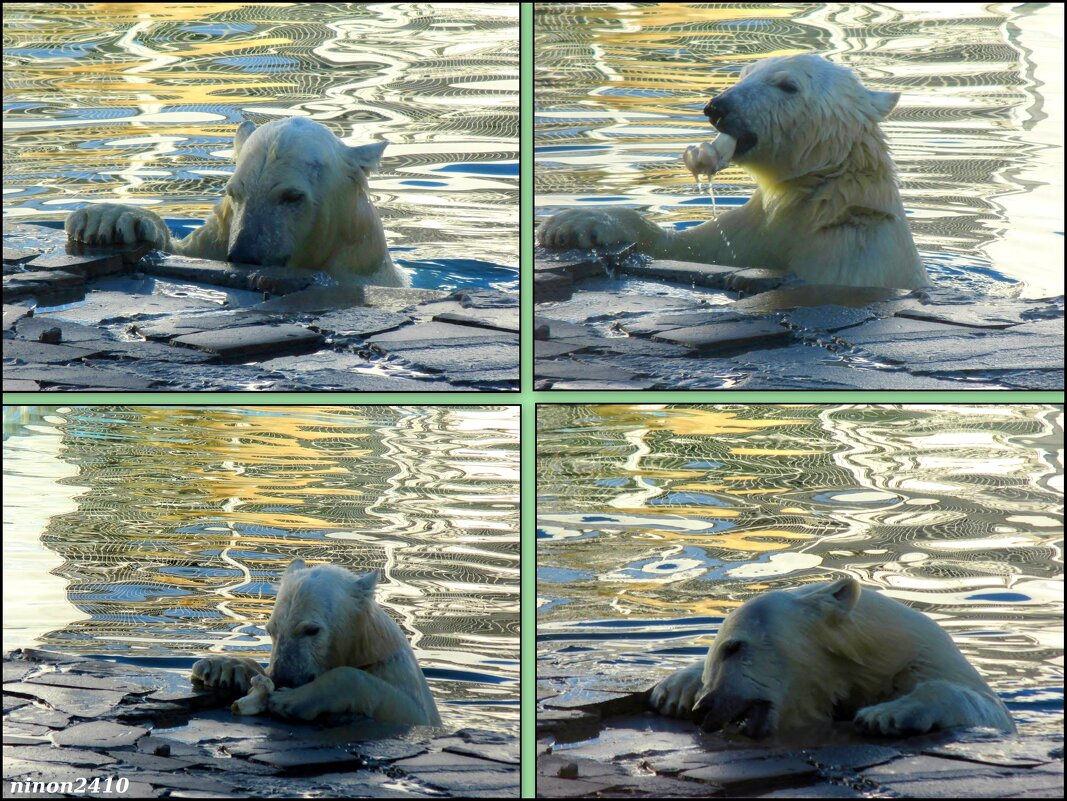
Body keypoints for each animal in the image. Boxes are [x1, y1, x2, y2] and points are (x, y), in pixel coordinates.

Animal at [63, 115, 403, 285]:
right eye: (234, 192)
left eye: (292, 197)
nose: (245, 254)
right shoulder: (221, 234)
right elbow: (185, 251)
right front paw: (105, 220)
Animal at [193, 563, 441, 725]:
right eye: (271, 630)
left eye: (312, 630)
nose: (282, 678)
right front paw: (220, 667)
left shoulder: (397, 676)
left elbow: (405, 708)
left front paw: (289, 699)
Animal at [537, 54, 930, 292]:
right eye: (745, 74)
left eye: (788, 85)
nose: (716, 107)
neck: (820, 197)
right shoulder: (758, 230)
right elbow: (688, 248)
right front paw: (572, 225)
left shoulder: (850, 253)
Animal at [648, 575, 1015, 738]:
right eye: (718, 650)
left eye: (734, 647)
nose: (704, 707)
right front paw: (674, 690)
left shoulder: (925, 662)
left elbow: (982, 704)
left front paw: (884, 714)